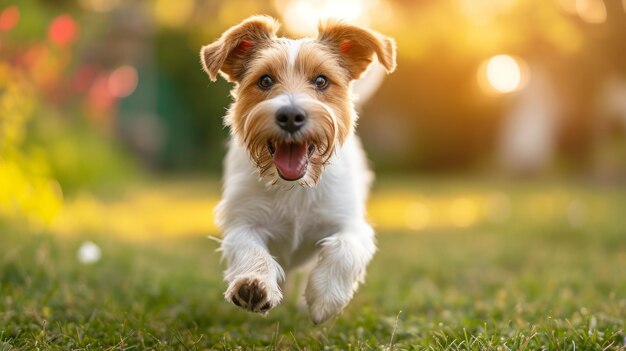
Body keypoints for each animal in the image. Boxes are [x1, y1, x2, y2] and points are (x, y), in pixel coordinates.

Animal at [200, 16, 394, 324]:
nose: (291, 115)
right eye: (265, 80)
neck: (293, 187)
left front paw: (325, 298)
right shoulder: (243, 220)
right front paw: (254, 284)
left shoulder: (350, 222)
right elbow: (248, 248)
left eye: (321, 80)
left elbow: (344, 249)